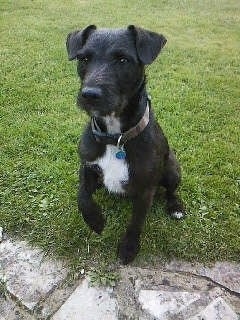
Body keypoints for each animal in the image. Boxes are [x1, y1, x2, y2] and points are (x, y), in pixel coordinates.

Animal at [65, 25, 184, 264]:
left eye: (122, 60)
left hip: (172, 169)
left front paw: (129, 247)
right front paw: (95, 220)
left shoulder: (146, 190)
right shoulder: (86, 166)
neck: (115, 137)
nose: (89, 94)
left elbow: (136, 222)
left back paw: (175, 206)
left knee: (171, 190)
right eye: (83, 58)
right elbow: (82, 196)